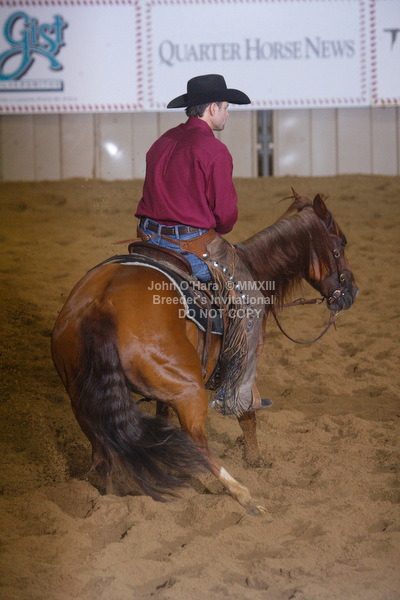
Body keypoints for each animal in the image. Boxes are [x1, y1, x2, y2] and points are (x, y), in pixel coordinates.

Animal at [51, 191, 358, 514]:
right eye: (341, 244)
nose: (352, 292)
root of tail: (101, 304)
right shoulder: (246, 358)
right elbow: (247, 413)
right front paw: (256, 460)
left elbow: (163, 413)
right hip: (188, 388)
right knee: (198, 442)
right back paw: (243, 494)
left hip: (85, 399)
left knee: (103, 454)